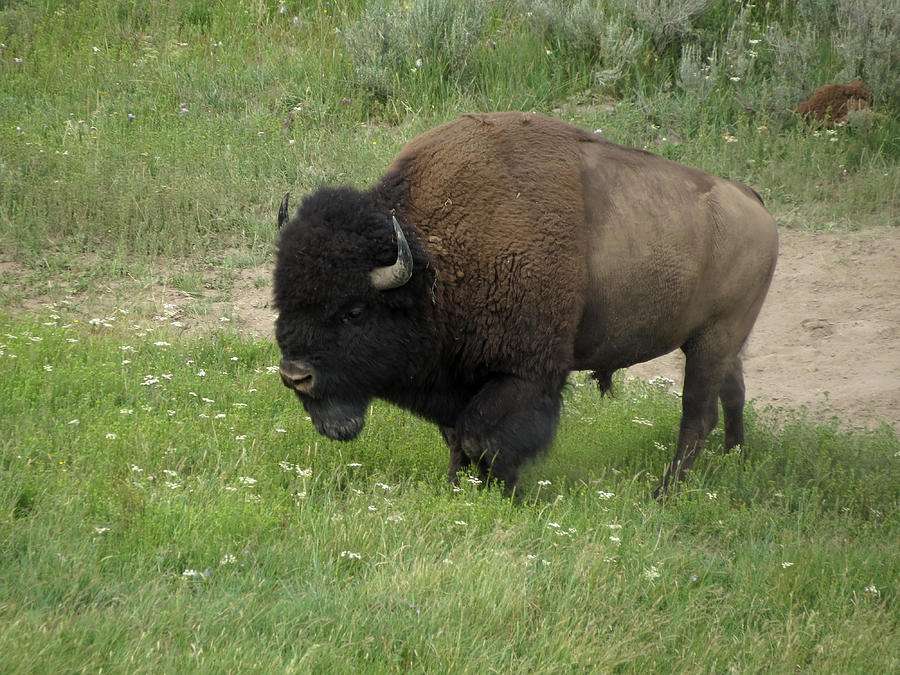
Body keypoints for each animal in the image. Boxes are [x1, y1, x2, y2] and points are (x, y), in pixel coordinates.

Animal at [272, 112, 772, 496]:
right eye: (281, 300)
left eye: (354, 311)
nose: (296, 376)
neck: (432, 261)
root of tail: (752, 201)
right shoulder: (459, 376)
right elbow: (456, 436)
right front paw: (455, 489)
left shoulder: (525, 373)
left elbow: (483, 438)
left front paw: (510, 493)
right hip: (720, 342)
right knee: (733, 392)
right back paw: (736, 460)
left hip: (712, 340)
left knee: (697, 415)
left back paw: (664, 492)